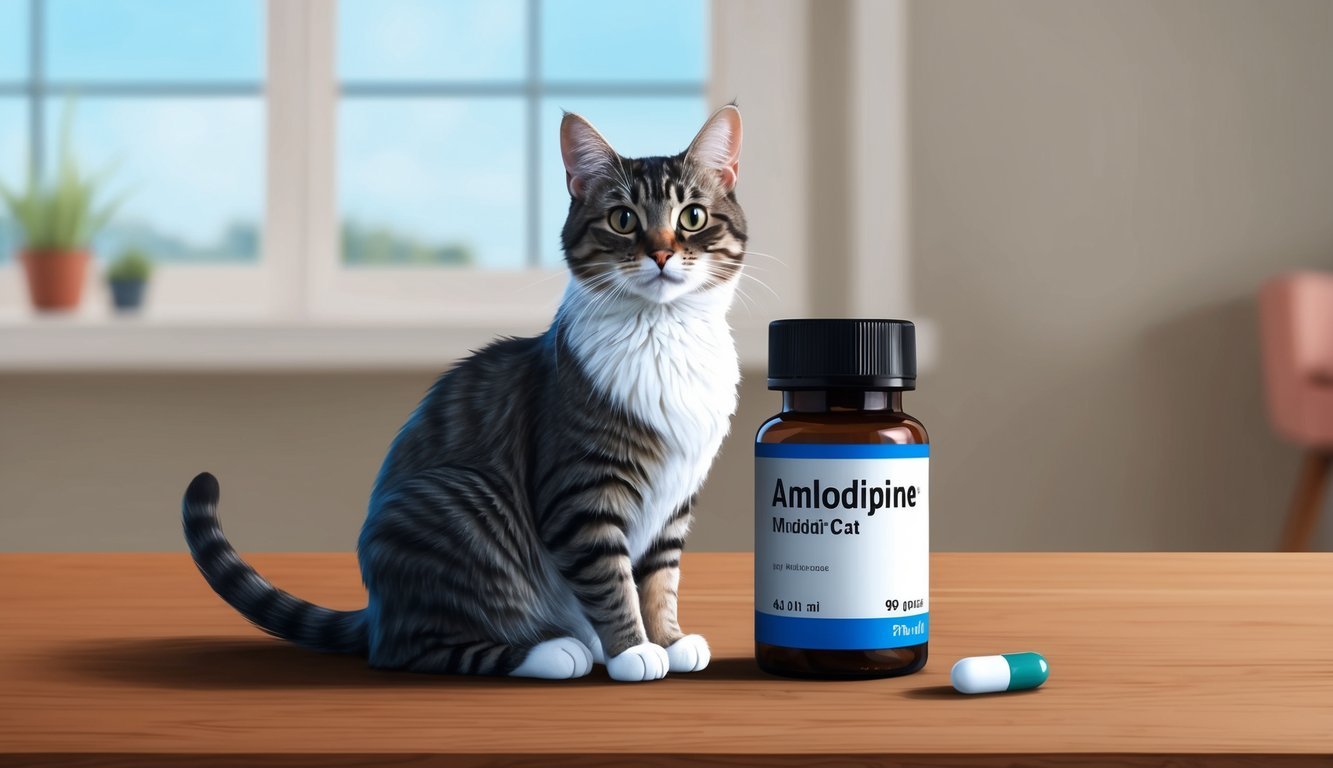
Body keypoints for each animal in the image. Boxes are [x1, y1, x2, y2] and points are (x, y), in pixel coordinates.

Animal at [182, 105, 751, 680]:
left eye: (692, 217)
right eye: (623, 219)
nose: (660, 253)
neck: (666, 333)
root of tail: (377, 607)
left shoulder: (676, 499)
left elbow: (660, 578)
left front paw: (670, 639)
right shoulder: (582, 492)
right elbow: (610, 579)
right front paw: (633, 650)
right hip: (468, 501)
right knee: (411, 647)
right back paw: (556, 649)